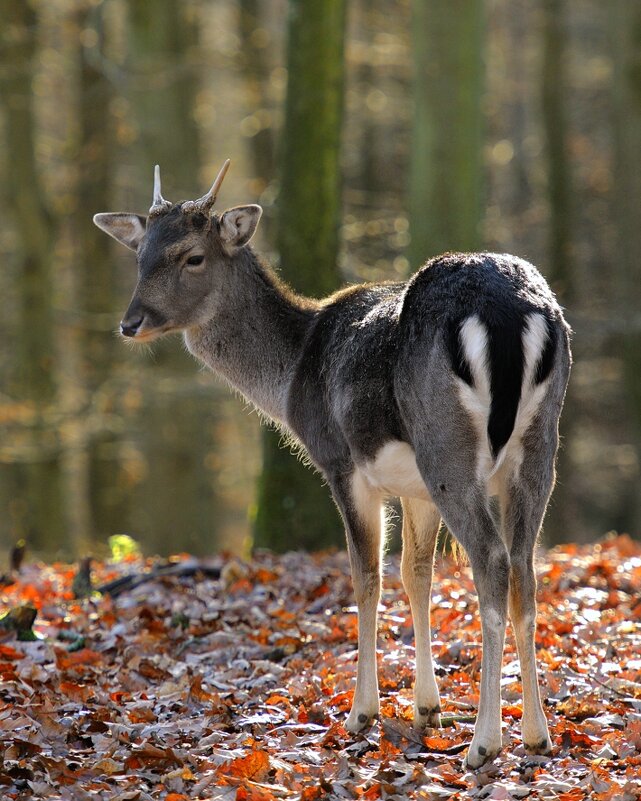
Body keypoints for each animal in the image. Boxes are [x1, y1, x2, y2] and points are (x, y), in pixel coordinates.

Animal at [94, 159, 568, 764]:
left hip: (446, 446)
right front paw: (426, 708)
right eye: (140, 255)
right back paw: (536, 734)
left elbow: (366, 579)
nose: (131, 322)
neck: (295, 368)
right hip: (536, 448)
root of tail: (509, 314)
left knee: (491, 563)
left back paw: (484, 743)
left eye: (192, 256)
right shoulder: (413, 487)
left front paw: (361, 713)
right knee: (525, 573)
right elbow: (416, 575)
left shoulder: (341, 463)